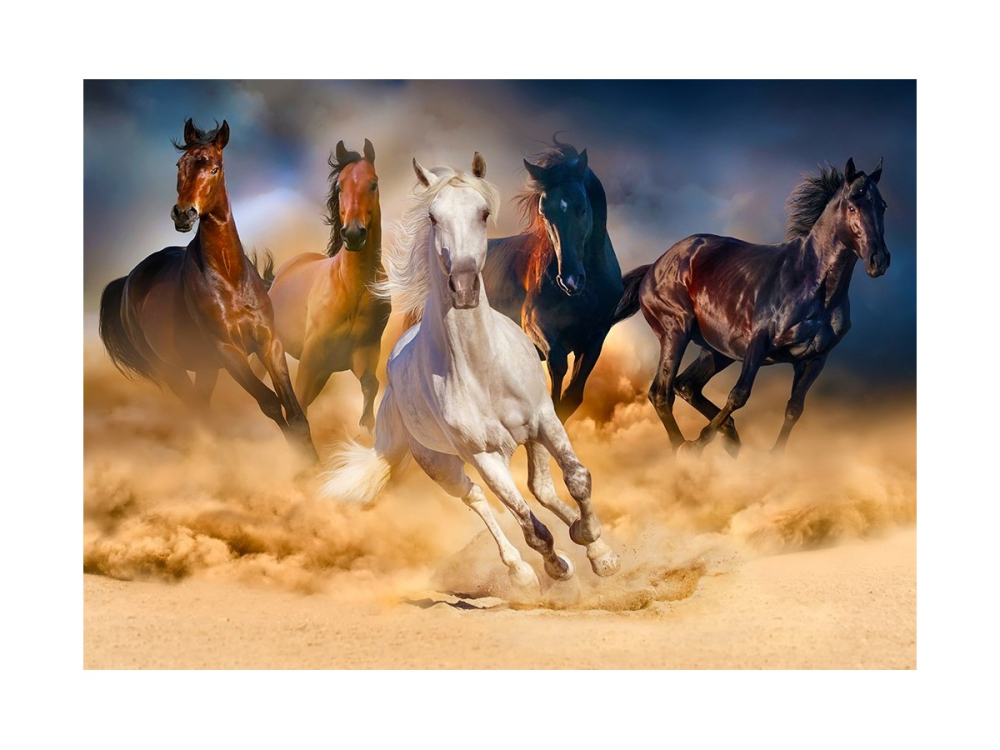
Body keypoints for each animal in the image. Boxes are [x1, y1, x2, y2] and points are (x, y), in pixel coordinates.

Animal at [98, 119, 316, 460]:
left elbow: (294, 412)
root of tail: (128, 281)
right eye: (180, 164)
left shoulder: (269, 343)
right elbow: (269, 403)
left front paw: (316, 464)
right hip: (171, 370)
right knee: (201, 412)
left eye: (215, 168)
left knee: (203, 408)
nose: (183, 213)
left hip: (204, 368)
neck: (230, 278)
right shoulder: (228, 351)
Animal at [260, 139, 390, 431]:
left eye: (373, 184)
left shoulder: (363, 353)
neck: (352, 288)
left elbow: (370, 388)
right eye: (340, 186)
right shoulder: (312, 357)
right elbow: (299, 406)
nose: (353, 233)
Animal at [481, 140, 627, 422]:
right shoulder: (536, 325)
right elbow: (557, 367)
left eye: (582, 208)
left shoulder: (595, 339)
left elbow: (572, 396)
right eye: (544, 212)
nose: (570, 280)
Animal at [614, 158, 890, 456]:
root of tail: (654, 266)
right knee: (661, 393)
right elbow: (739, 394)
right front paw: (699, 443)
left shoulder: (815, 359)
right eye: (852, 206)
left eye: (882, 205)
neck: (813, 286)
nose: (879, 260)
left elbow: (794, 408)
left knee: (685, 386)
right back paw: (684, 449)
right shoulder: (759, 342)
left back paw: (729, 436)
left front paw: (773, 457)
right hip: (675, 331)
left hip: (716, 350)